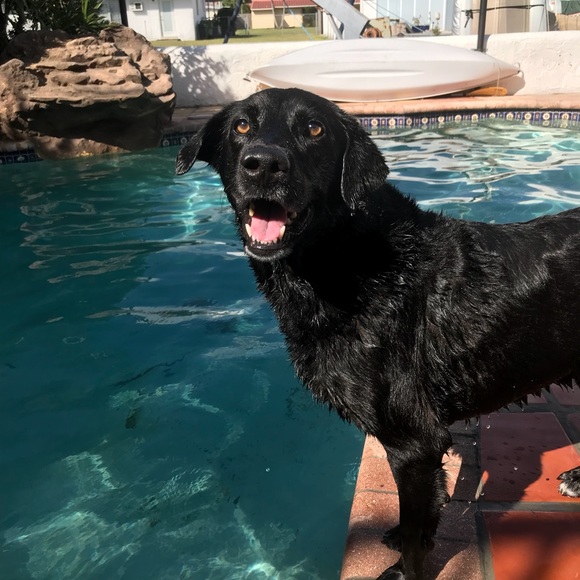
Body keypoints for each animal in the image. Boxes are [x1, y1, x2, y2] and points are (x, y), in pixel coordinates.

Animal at [176, 88, 580, 580]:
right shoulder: (424, 449)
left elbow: (413, 536)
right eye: (241, 126)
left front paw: (406, 569)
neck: (346, 261)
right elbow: (424, 514)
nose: (264, 164)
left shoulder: (413, 443)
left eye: (315, 130)